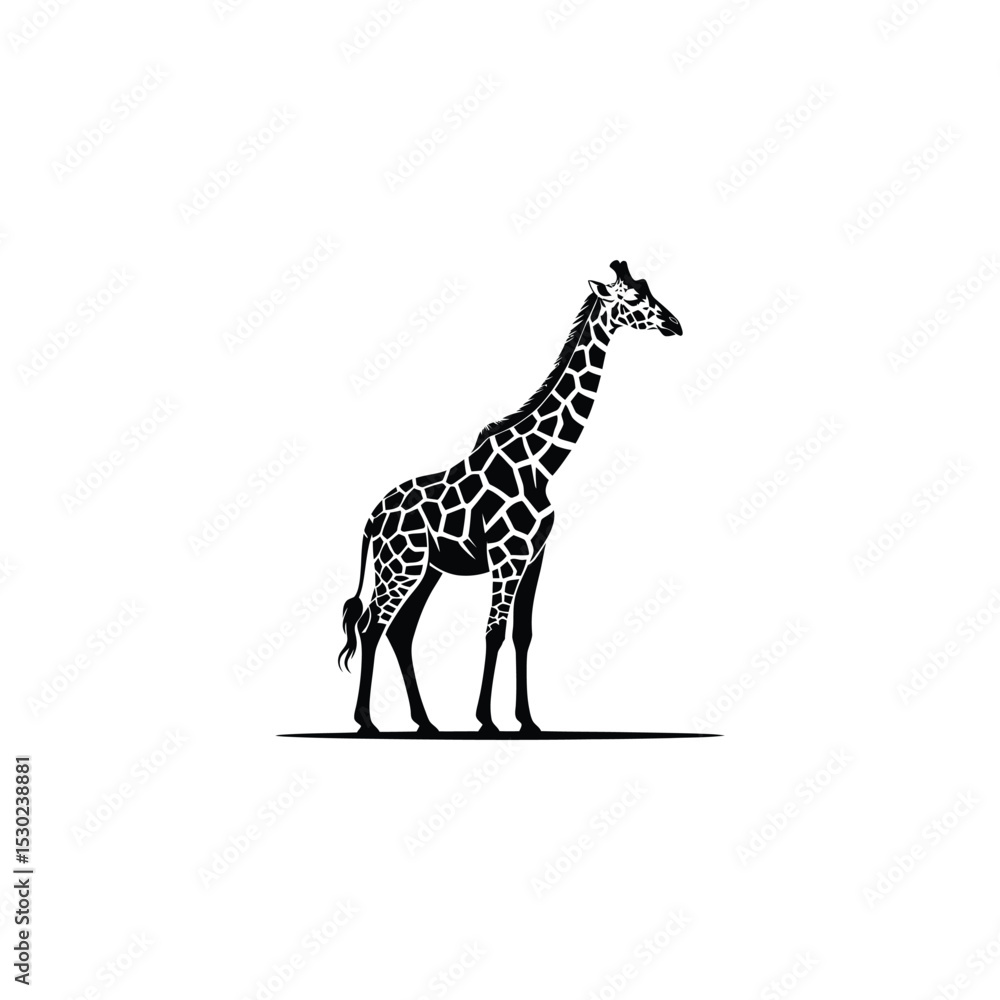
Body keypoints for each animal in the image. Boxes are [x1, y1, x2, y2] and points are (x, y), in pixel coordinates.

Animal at [339, 260, 682, 733]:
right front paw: (486, 720)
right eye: (632, 298)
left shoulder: (535, 556)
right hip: (400, 567)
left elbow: (523, 633)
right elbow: (494, 630)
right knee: (373, 625)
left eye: (649, 289)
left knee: (400, 630)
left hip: (426, 570)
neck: (540, 465)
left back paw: (425, 722)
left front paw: (527, 720)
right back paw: (367, 722)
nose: (675, 325)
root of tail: (371, 519)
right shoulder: (507, 556)